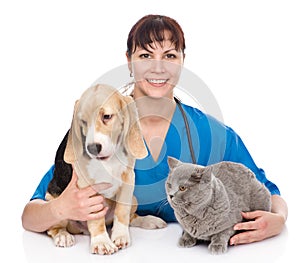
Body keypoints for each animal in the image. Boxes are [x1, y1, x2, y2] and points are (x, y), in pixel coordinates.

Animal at [45, 84, 166, 256]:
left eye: (107, 116)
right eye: (83, 121)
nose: (92, 148)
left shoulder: (128, 178)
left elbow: (122, 212)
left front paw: (120, 236)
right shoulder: (88, 188)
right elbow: (96, 219)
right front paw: (101, 241)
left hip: (134, 199)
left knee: (131, 217)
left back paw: (149, 220)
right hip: (54, 202)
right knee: (53, 228)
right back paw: (63, 235)